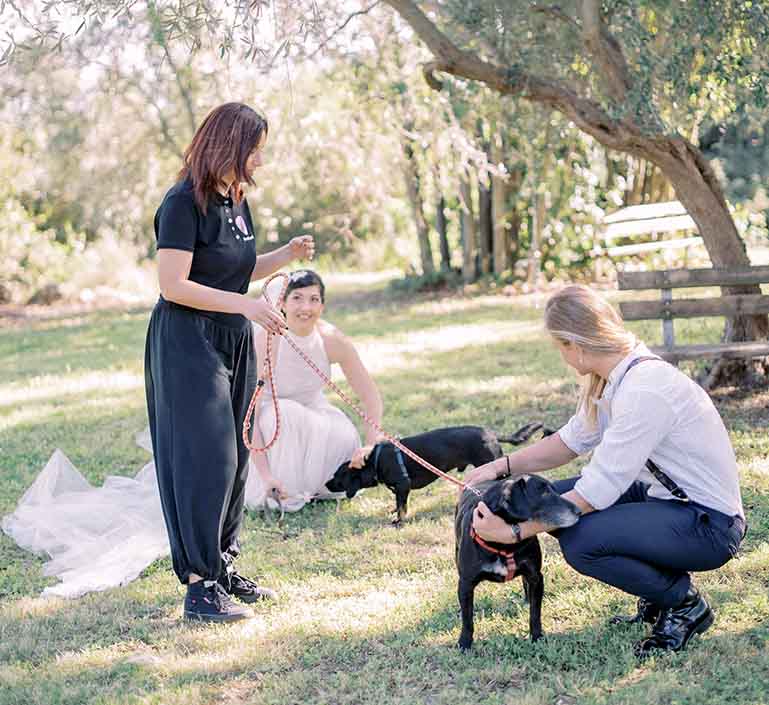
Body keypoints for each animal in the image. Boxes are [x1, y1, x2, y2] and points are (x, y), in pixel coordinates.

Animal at [322, 418, 544, 524]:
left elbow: (402, 507)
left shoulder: (403, 485)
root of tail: (492, 434)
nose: (325, 484)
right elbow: (397, 503)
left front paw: (398, 521)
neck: (375, 461)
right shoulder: (398, 489)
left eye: (337, 477)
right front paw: (393, 511)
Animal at [452, 472, 580, 648]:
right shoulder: (465, 584)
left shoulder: (536, 576)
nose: (579, 511)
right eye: (544, 492)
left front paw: (536, 637)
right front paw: (464, 643)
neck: (505, 546)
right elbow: (467, 619)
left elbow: (535, 612)